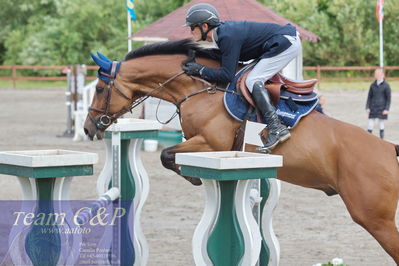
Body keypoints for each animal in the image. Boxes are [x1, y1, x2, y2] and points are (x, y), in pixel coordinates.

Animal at [84, 38, 399, 262]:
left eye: (99, 89)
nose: (89, 128)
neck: (201, 88)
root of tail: (388, 149)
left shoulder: (212, 144)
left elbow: (167, 155)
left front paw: (194, 177)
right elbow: (168, 155)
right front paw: (193, 176)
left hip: (374, 217)